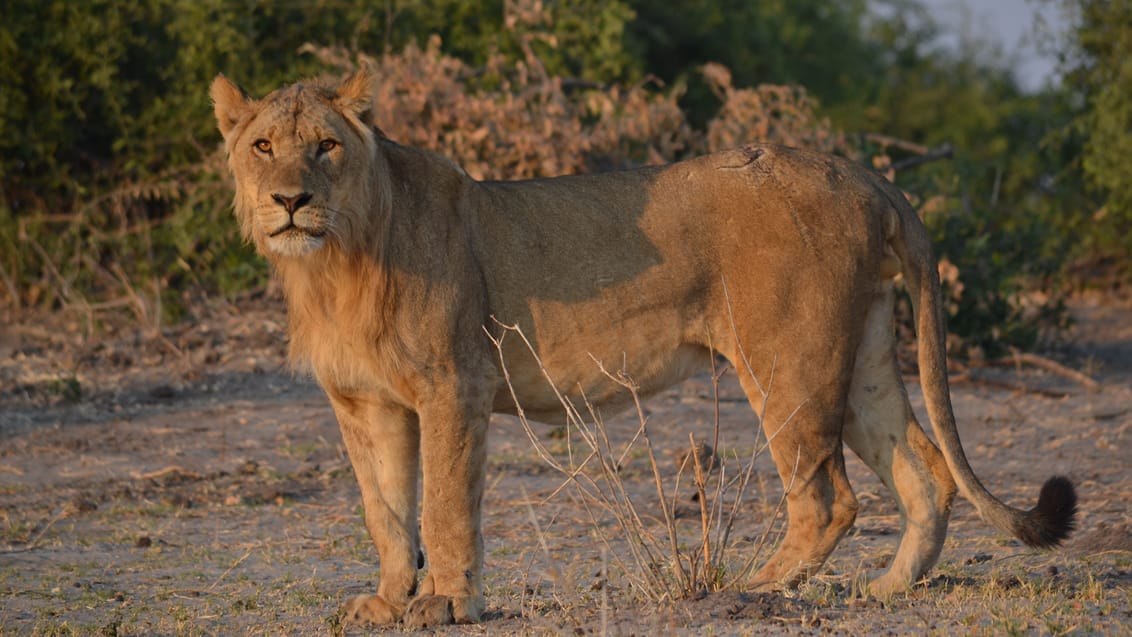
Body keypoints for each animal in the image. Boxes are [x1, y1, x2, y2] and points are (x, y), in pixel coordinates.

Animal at [212, 68, 1077, 629]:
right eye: (263, 146)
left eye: (326, 146)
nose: (290, 200)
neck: (336, 262)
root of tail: (863, 172)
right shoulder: (364, 401)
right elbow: (386, 508)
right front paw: (389, 599)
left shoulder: (453, 384)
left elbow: (445, 503)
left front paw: (447, 601)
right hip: (859, 351)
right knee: (925, 470)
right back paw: (886, 590)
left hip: (788, 357)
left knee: (830, 495)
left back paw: (757, 588)